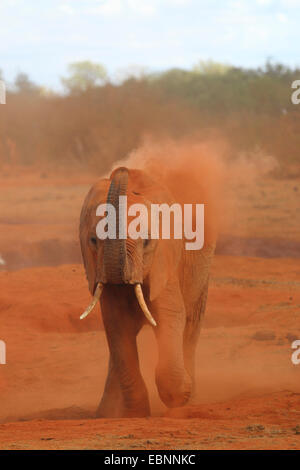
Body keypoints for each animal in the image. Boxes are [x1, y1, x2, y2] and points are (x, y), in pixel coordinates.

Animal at [79, 165, 216, 418]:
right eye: (93, 240)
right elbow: (116, 322)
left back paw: (190, 398)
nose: (122, 170)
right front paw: (136, 413)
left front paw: (181, 396)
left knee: (191, 324)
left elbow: (170, 314)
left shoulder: (166, 259)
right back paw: (106, 413)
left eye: (146, 242)